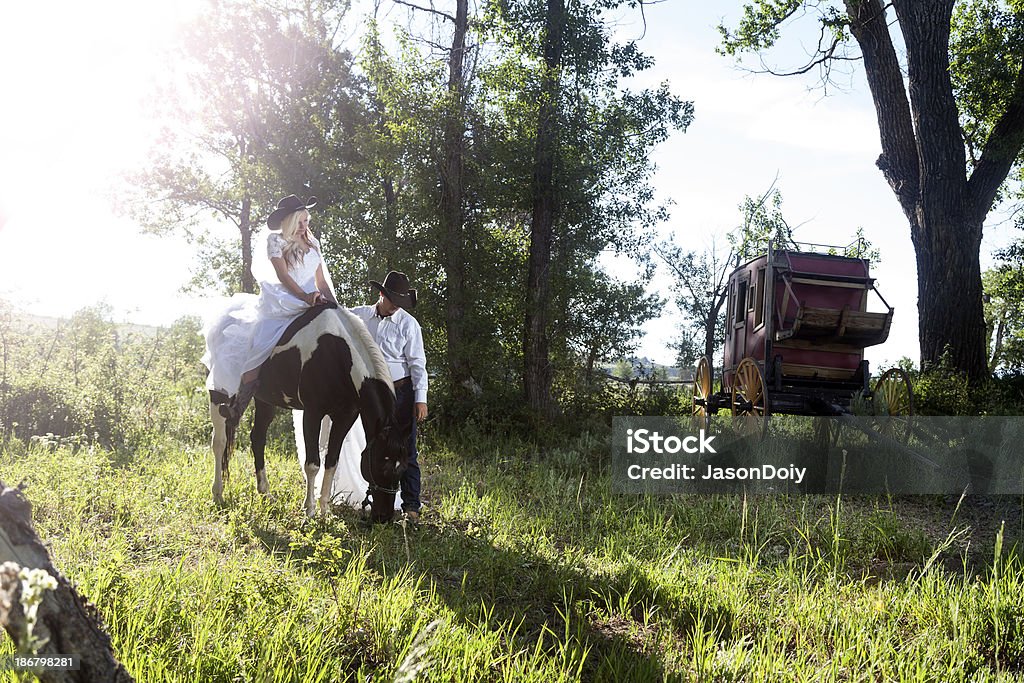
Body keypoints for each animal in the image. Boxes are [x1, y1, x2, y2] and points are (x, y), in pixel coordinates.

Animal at [208, 305, 407, 524]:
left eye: (402, 468)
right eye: (381, 465)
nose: (384, 517)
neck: (335, 353)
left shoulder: (345, 417)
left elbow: (332, 462)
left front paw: (325, 510)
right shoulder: (312, 413)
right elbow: (313, 464)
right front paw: (309, 510)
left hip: (265, 400)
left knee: (257, 438)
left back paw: (265, 493)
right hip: (218, 393)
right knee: (219, 442)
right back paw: (218, 493)